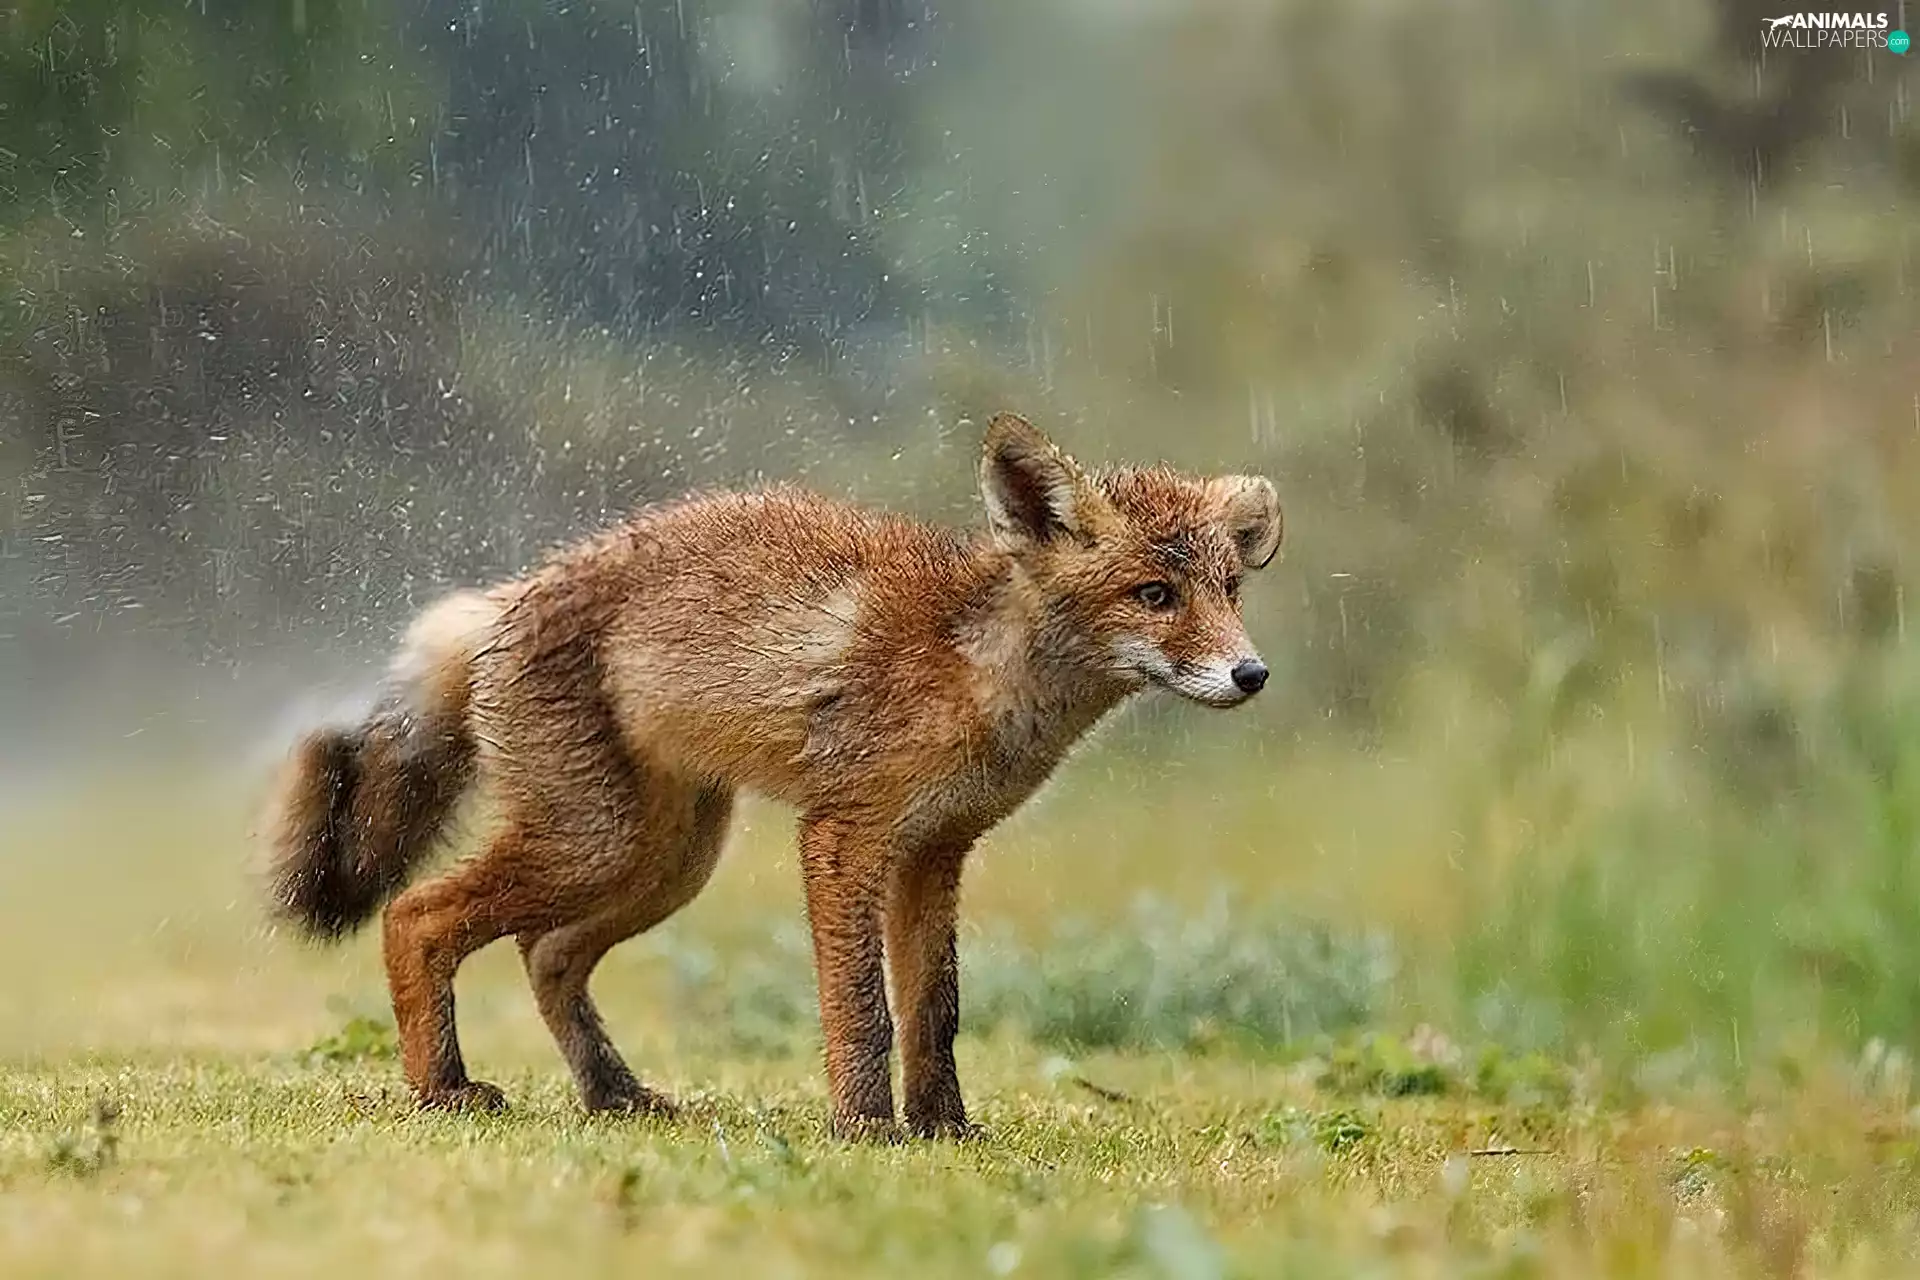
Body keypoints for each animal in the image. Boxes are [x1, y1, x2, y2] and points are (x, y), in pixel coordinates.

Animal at [263, 412, 1282, 1141]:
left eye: (1230, 590)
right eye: (1154, 595)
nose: (1253, 674)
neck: (974, 673)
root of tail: (509, 596)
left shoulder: (935, 851)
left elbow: (935, 1010)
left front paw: (945, 1130)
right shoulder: (844, 833)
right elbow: (864, 1007)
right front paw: (867, 1128)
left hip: (666, 861)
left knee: (547, 955)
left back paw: (613, 1094)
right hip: (594, 843)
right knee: (416, 917)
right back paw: (443, 1089)